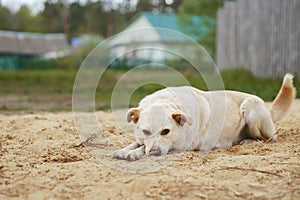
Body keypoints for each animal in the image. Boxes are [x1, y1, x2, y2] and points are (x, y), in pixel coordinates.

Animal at [114, 73, 296, 161]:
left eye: (166, 131)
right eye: (145, 131)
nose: (155, 153)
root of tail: (267, 108)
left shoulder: (180, 146)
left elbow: (142, 148)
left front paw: (134, 154)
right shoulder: (142, 138)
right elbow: (137, 144)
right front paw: (124, 150)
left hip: (251, 109)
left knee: (271, 137)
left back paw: (248, 141)